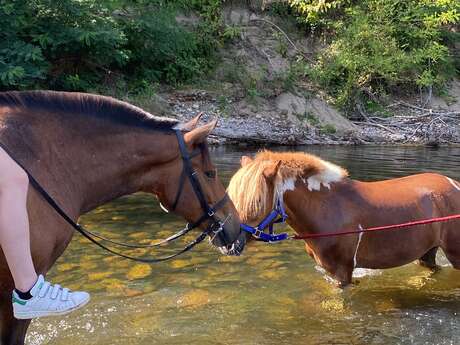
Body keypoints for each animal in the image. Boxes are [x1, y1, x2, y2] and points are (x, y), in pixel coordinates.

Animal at [227, 149, 460, 286]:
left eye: (257, 202)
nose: (229, 242)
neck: (328, 208)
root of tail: (453, 183)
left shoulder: (343, 273)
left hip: (454, 254)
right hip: (427, 251)